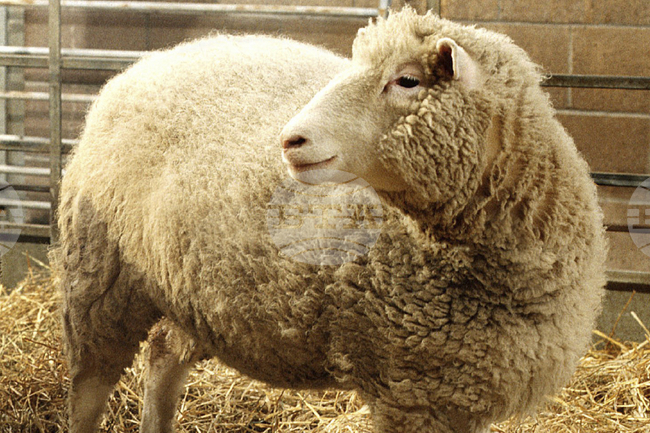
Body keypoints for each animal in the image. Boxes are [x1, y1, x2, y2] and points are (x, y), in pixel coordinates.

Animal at [53, 8, 607, 433]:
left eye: (407, 80)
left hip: (195, 289)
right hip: (101, 274)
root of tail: (146, 64)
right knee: (89, 386)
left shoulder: (458, 392)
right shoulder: (411, 392)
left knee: (163, 355)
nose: (290, 140)